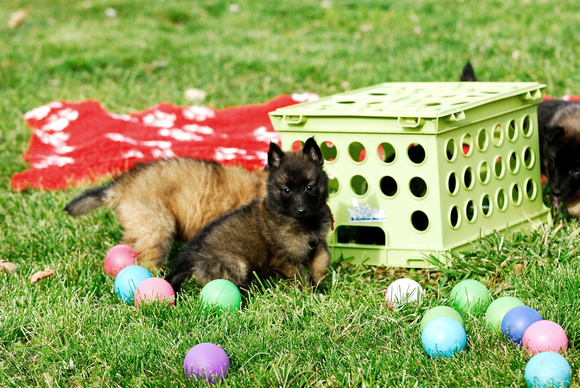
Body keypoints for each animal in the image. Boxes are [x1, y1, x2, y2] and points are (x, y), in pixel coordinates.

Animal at [165, 136, 334, 292]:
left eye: (310, 187)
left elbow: (324, 259)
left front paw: (318, 280)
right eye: (286, 190)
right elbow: (301, 279)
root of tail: (191, 253)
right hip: (236, 265)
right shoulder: (286, 260)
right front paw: (310, 295)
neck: (306, 222)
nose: (301, 211)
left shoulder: (319, 242)